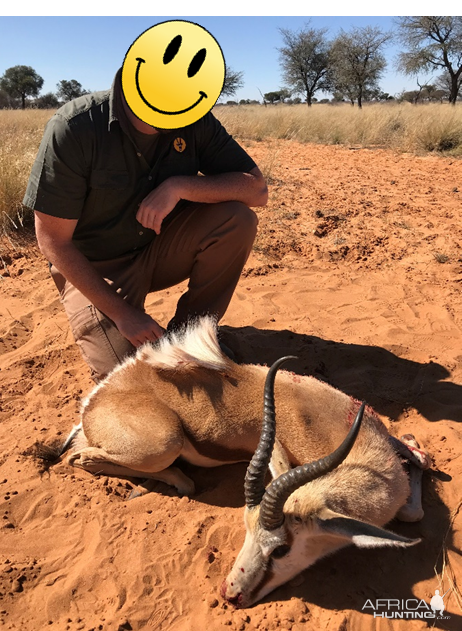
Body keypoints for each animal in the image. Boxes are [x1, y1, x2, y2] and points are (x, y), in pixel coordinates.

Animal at [47, 318, 430, 608]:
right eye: (245, 530)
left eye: (281, 549)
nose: (228, 593)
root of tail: (94, 403)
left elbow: (418, 470)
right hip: (165, 442)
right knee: (84, 459)